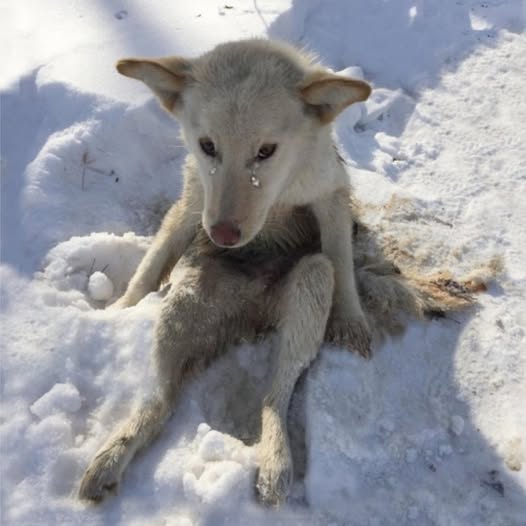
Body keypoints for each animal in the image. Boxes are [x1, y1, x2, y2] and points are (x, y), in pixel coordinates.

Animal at [78, 39, 490, 506]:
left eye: (265, 151)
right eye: (208, 146)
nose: (223, 234)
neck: (280, 191)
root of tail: (248, 318)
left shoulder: (330, 201)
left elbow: (341, 259)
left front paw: (350, 320)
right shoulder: (194, 202)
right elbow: (154, 261)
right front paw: (123, 309)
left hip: (310, 283)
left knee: (275, 394)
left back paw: (275, 462)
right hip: (182, 306)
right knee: (161, 398)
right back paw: (113, 455)